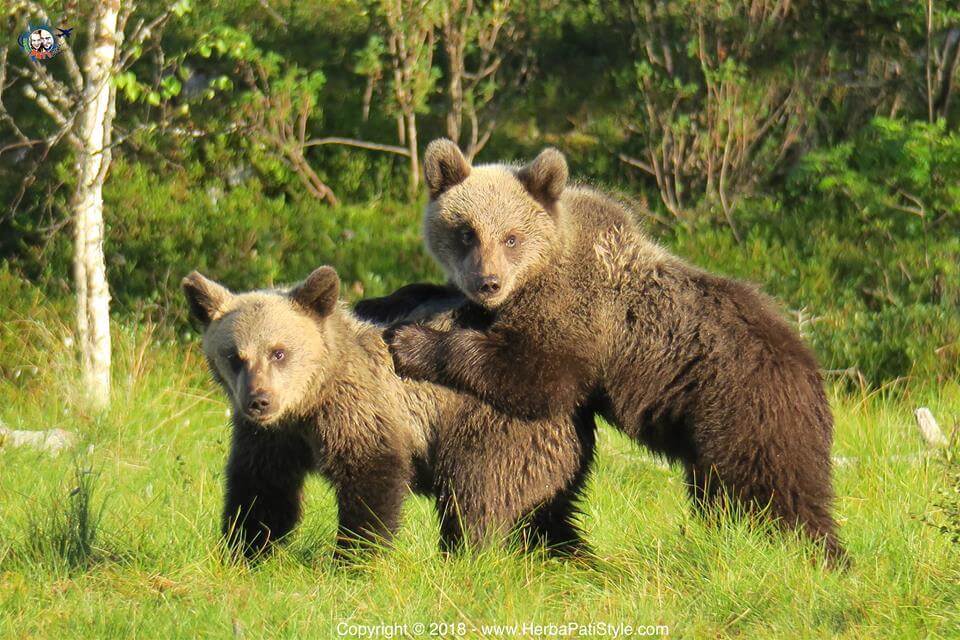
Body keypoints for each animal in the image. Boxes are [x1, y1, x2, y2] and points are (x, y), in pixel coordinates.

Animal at [181, 266, 595, 559]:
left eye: (279, 351)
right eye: (234, 356)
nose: (259, 400)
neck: (309, 403)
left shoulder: (359, 410)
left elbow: (372, 478)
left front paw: (354, 557)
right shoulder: (272, 438)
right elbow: (262, 491)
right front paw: (245, 549)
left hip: (495, 427)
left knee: (476, 495)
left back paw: (466, 556)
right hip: (551, 458)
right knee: (548, 518)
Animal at [385, 139, 846, 565]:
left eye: (511, 237)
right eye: (467, 231)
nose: (488, 282)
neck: (545, 267)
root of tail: (810, 370)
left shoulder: (578, 316)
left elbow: (534, 376)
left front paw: (410, 341)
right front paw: (401, 296)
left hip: (743, 415)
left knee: (774, 493)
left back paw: (819, 554)